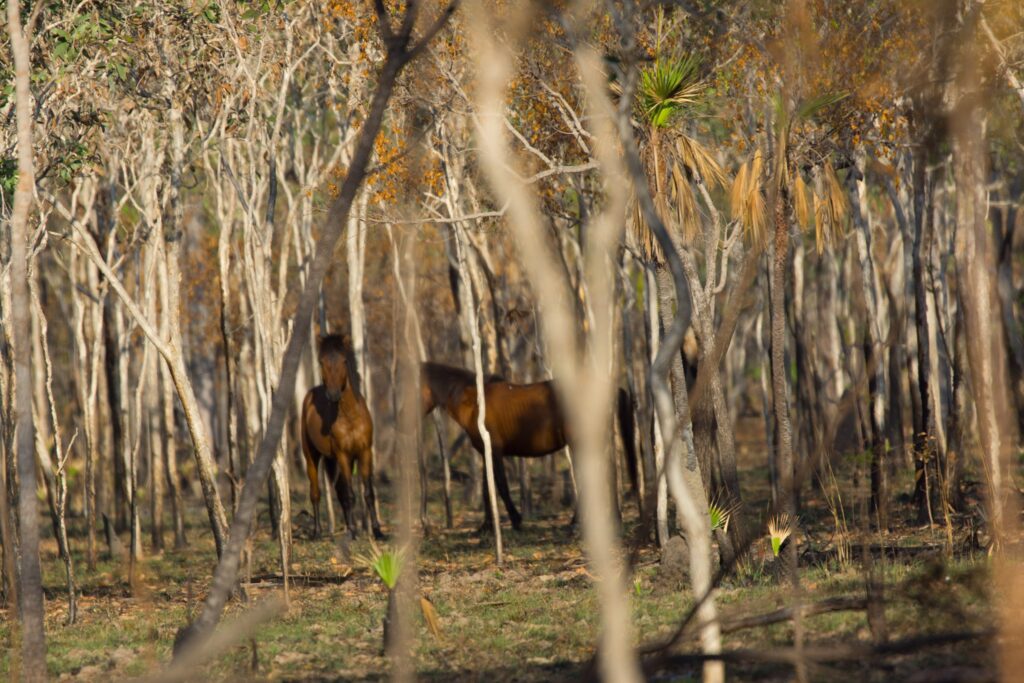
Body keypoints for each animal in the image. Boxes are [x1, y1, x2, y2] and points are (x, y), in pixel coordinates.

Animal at [305, 335, 385, 540]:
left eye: (344, 361)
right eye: (321, 361)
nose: (333, 395)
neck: (350, 416)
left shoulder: (364, 453)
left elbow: (368, 493)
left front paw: (377, 531)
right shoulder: (343, 455)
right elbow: (350, 494)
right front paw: (353, 531)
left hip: (336, 460)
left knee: (339, 490)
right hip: (312, 455)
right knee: (315, 492)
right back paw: (318, 532)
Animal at [417, 360, 630, 532]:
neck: (475, 403)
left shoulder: (495, 452)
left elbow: (501, 486)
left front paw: (515, 520)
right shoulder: (486, 453)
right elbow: (488, 490)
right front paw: (486, 527)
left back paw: (576, 523)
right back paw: (613, 518)